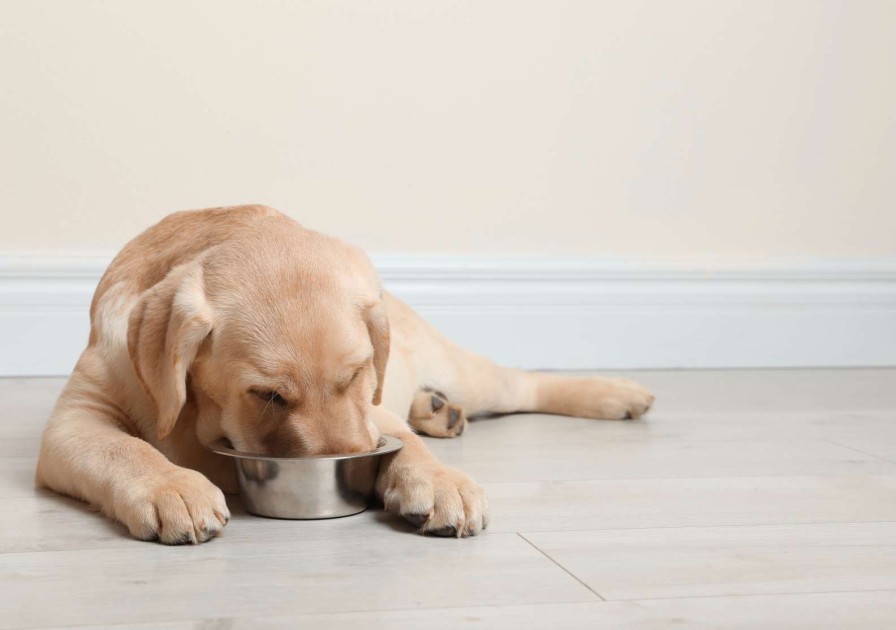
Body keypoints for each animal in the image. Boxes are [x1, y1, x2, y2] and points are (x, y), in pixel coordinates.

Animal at [35, 206, 656, 544]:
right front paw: (174, 487)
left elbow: (400, 439)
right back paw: (439, 411)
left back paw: (616, 393)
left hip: (461, 368)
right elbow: (125, 449)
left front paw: (439, 481)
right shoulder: (75, 420)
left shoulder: (373, 409)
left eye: (357, 373)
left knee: (522, 382)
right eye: (267, 395)